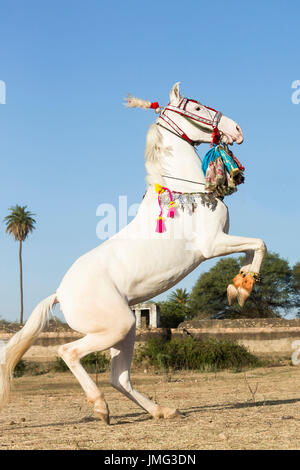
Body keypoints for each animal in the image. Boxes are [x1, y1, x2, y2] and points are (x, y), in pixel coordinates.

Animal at [0, 82, 266, 424]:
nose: (237, 130)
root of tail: (60, 293)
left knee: (119, 377)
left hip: (126, 329)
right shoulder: (213, 244)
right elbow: (258, 243)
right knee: (69, 353)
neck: (186, 192)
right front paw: (242, 290)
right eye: (195, 107)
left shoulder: (222, 241)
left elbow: (251, 250)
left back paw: (162, 410)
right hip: (116, 326)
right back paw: (101, 408)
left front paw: (239, 286)